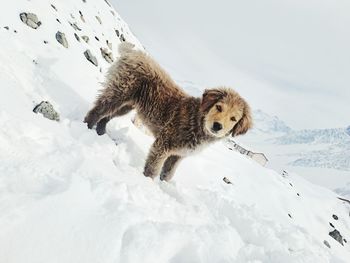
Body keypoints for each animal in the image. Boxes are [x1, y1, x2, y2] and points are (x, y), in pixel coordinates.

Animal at [83, 42, 253, 182]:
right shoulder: (163, 145)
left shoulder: (177, 155)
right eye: (219, 107)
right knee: (98, 110)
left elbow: (167, 174)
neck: (196, 120)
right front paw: (148, 184)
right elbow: (153, 170)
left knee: (106, 117)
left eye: (233, 119)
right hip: (119, 92)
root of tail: (132, 53)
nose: (217, 126)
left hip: (126, 105)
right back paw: (87, 127)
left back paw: (101, 133)